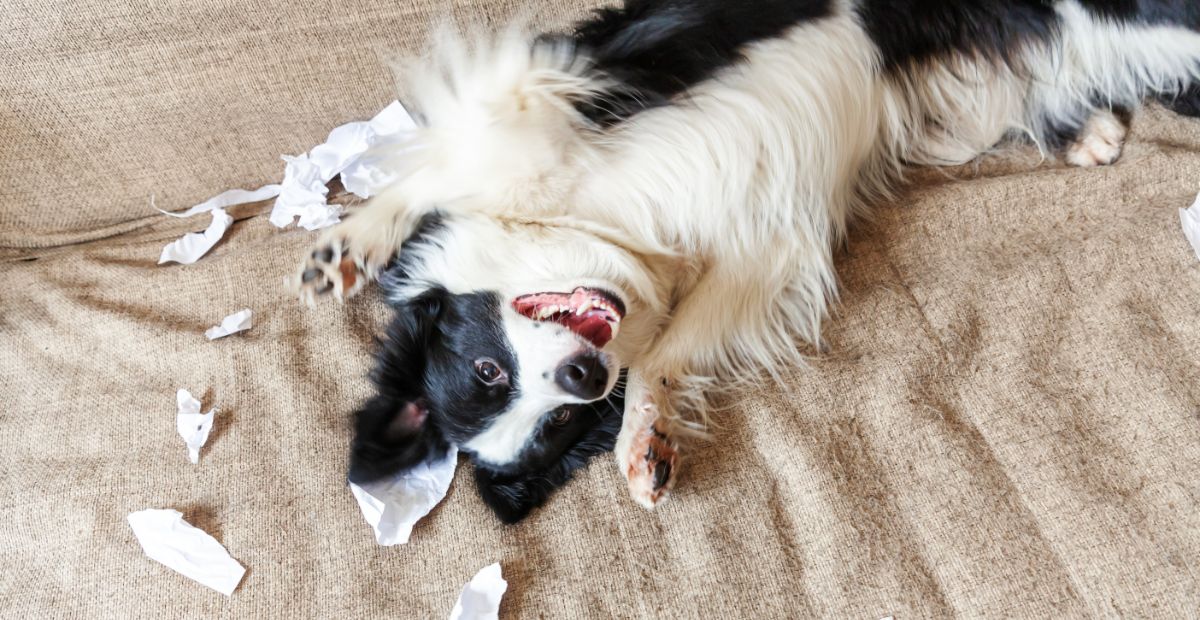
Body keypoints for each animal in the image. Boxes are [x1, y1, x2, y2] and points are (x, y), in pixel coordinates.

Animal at [290, 1, 1200, 522]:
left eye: (487, 369)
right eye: (554, 425)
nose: (585, 377)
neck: (600, 226)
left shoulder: (563, 82)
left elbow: (451, 159)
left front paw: (351, 242)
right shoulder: (761, 260)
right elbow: (668, 351)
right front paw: (644, 442)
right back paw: (1087, 129)